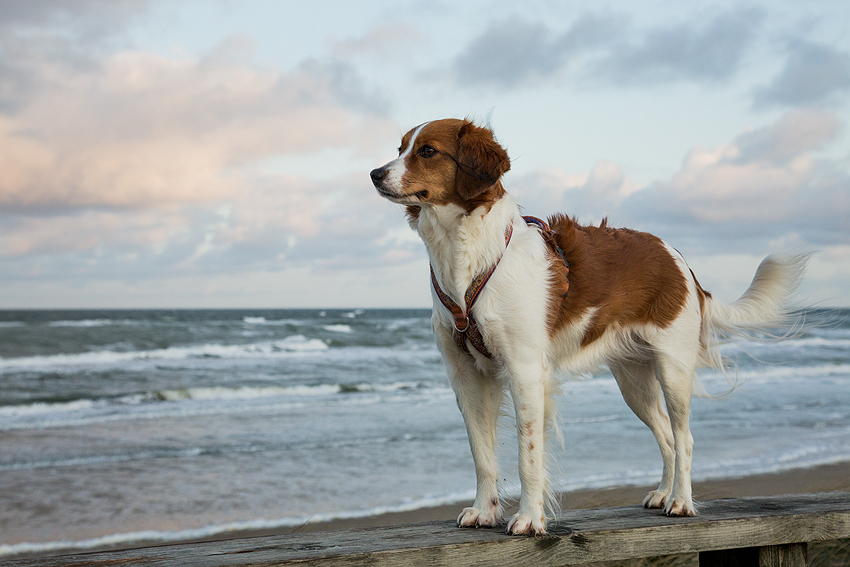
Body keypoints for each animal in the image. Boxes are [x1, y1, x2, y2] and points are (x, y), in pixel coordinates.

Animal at [368, 118, 804, 536]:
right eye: (400, 148)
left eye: (427, 151)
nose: (374, 173)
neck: (468, 255)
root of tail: (678, 258)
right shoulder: (466, 375)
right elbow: (482, 454)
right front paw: (485, 511)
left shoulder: (525, 371)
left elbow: (528, 456)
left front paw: (530, 519)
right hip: (633, 380)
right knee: (666, 437)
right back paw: (663, 494)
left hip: (673, 369)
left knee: (684, 438)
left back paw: (681, 501)